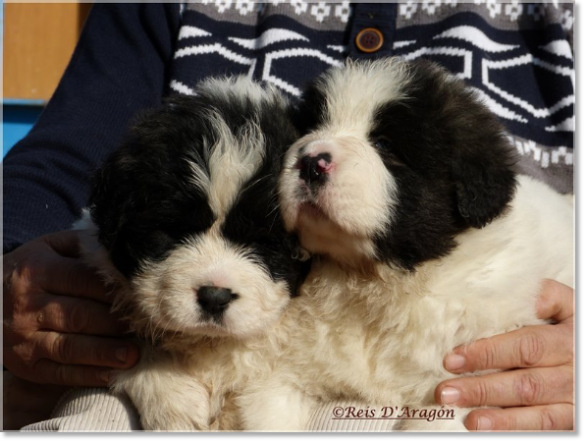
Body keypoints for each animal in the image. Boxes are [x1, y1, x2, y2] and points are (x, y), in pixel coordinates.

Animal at [236, 57, 572, 432]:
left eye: (384, 144)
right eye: (312, 128)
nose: (310, 161)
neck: (372, 282)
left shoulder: (461, 389)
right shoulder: (283, 373)